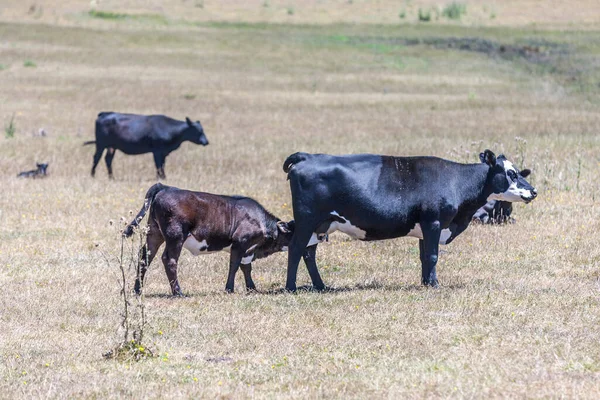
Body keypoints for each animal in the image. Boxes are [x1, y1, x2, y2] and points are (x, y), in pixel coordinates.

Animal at [123, 183, 296, 296]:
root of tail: (166, 187)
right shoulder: (240, 242)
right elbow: (234, 265)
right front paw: (229, 289)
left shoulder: (248, 249)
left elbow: (246, 267)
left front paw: (252, 289)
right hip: (175, 235)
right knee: (169, 259)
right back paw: (178, 292)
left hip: (154, 233)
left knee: (145, 257)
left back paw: (137, 290)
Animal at [284, 150, 536, 290]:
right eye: (511, 173)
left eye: (518, 172)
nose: (534, 191)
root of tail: (308, 156)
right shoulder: (434, 222)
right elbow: (433, 256)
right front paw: (434, 285)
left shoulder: (425, 228)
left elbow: (425, 257)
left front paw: (425, 283)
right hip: (307, 220)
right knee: (296, 249)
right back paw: (291, 287)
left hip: (321, 224)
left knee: (309, 253)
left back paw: (320, 286)